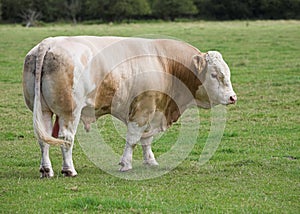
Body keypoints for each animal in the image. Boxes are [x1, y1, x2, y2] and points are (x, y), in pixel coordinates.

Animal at [22, 36, 237, 177]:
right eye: (214, 75)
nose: (232, 97)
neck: (164, 62)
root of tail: (49, 43)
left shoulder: (154, 111)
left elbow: (146, 140)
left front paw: (150, 161)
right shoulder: (143, 110)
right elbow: (133, 139)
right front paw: (125, 164)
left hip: (43, 111)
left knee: (44, 139)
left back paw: (46, 169)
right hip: (70, 112)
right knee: (66, 138)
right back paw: (69, 170)